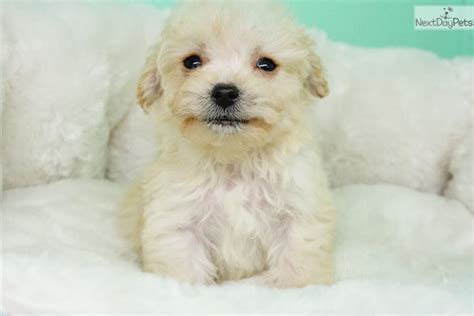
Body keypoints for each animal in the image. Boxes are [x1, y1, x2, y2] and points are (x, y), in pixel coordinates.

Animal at [122, 1, 336, 288]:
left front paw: (297, 287)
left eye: (266, 64)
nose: (224, 92)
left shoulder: (298, 208)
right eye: (192, 61)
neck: (234, 158)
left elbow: (298, 258)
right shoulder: (177, 218)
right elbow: (183, 267)